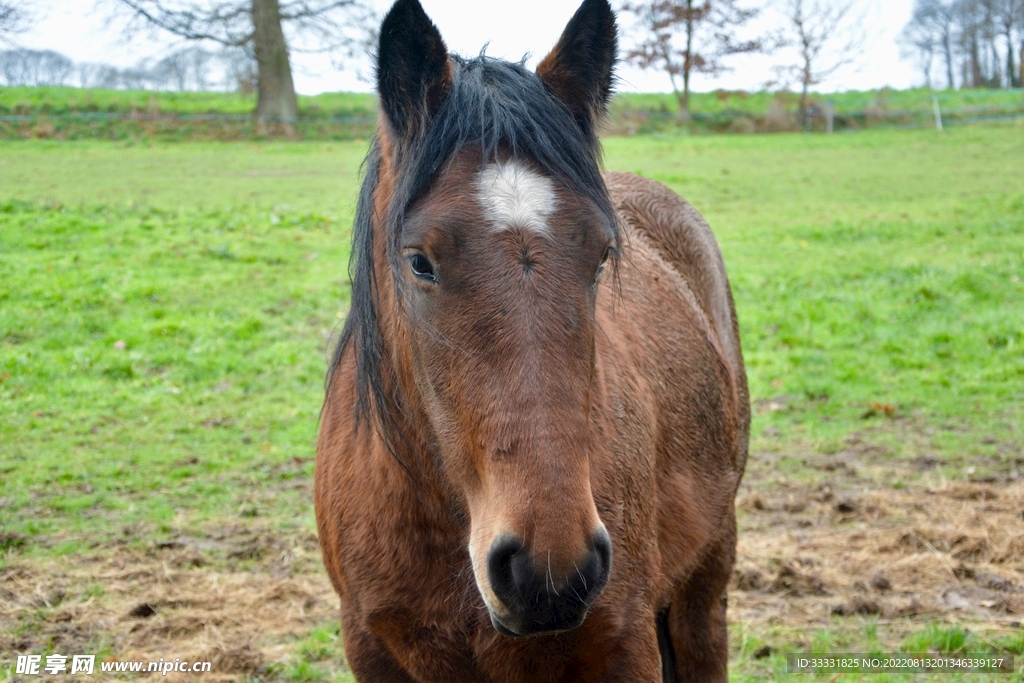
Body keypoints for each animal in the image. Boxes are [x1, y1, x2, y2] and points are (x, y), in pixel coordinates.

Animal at [314, 0, 749, 680]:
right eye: (419, 262)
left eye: (601, 255)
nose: (548, 570)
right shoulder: (369, 647)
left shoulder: (627, 645)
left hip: (706, 583)